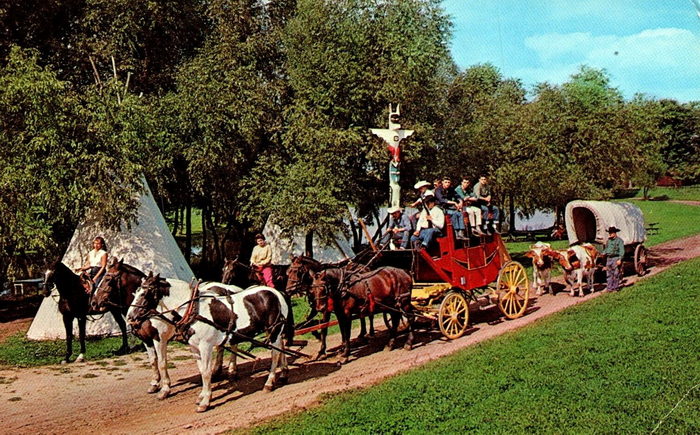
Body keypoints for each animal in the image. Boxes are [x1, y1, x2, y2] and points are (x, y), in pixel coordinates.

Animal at [127, 272, 292, 412]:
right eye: (135, 292)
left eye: (144, 293)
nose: (130, 317)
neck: (194, 310)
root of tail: (277, 292)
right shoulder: (194, 347)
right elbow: (201, 370)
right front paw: (202, 395)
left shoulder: (204, 346)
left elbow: (206, 372)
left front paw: (205, 401)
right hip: (273, 330)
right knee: (280, 347)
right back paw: (283, 374)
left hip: (275, 330)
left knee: (275, 354)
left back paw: (269, 383)